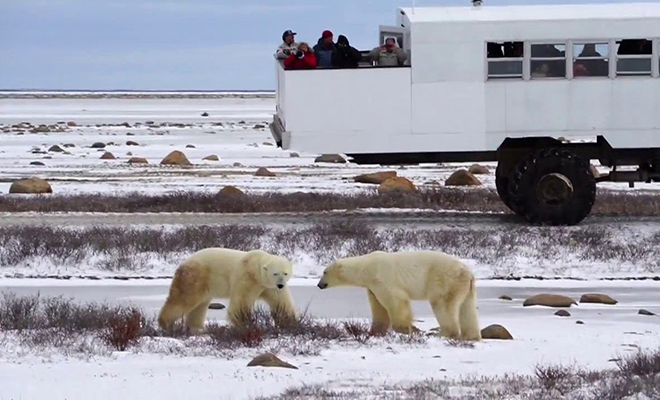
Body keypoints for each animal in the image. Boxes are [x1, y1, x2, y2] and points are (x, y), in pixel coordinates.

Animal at [157, 248, 296, 332]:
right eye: (275, 273)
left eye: (285, 273)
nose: (280, 284)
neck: (255, 269)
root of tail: (183, 263)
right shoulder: (247, 278)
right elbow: (241, 302)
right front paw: (244, 324)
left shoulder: (268, 287)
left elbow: (281, 302)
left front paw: (290, 322)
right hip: (196, 277)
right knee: (184, 299)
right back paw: (166, 323)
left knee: (200, 305)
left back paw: (198, 328)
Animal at [318, 250, 482, 340]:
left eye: (324, 272)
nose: (319, 285)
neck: (367, 267)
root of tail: (468, 273)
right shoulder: (373, 287)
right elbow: (379, 308)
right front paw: (374, 331)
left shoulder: (384, 278)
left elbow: (396, 301)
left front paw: (410, 329)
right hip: (466, 288)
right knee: (467, 309)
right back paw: (471, 336)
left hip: (445, 280)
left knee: (442, 304)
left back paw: (445, 333)